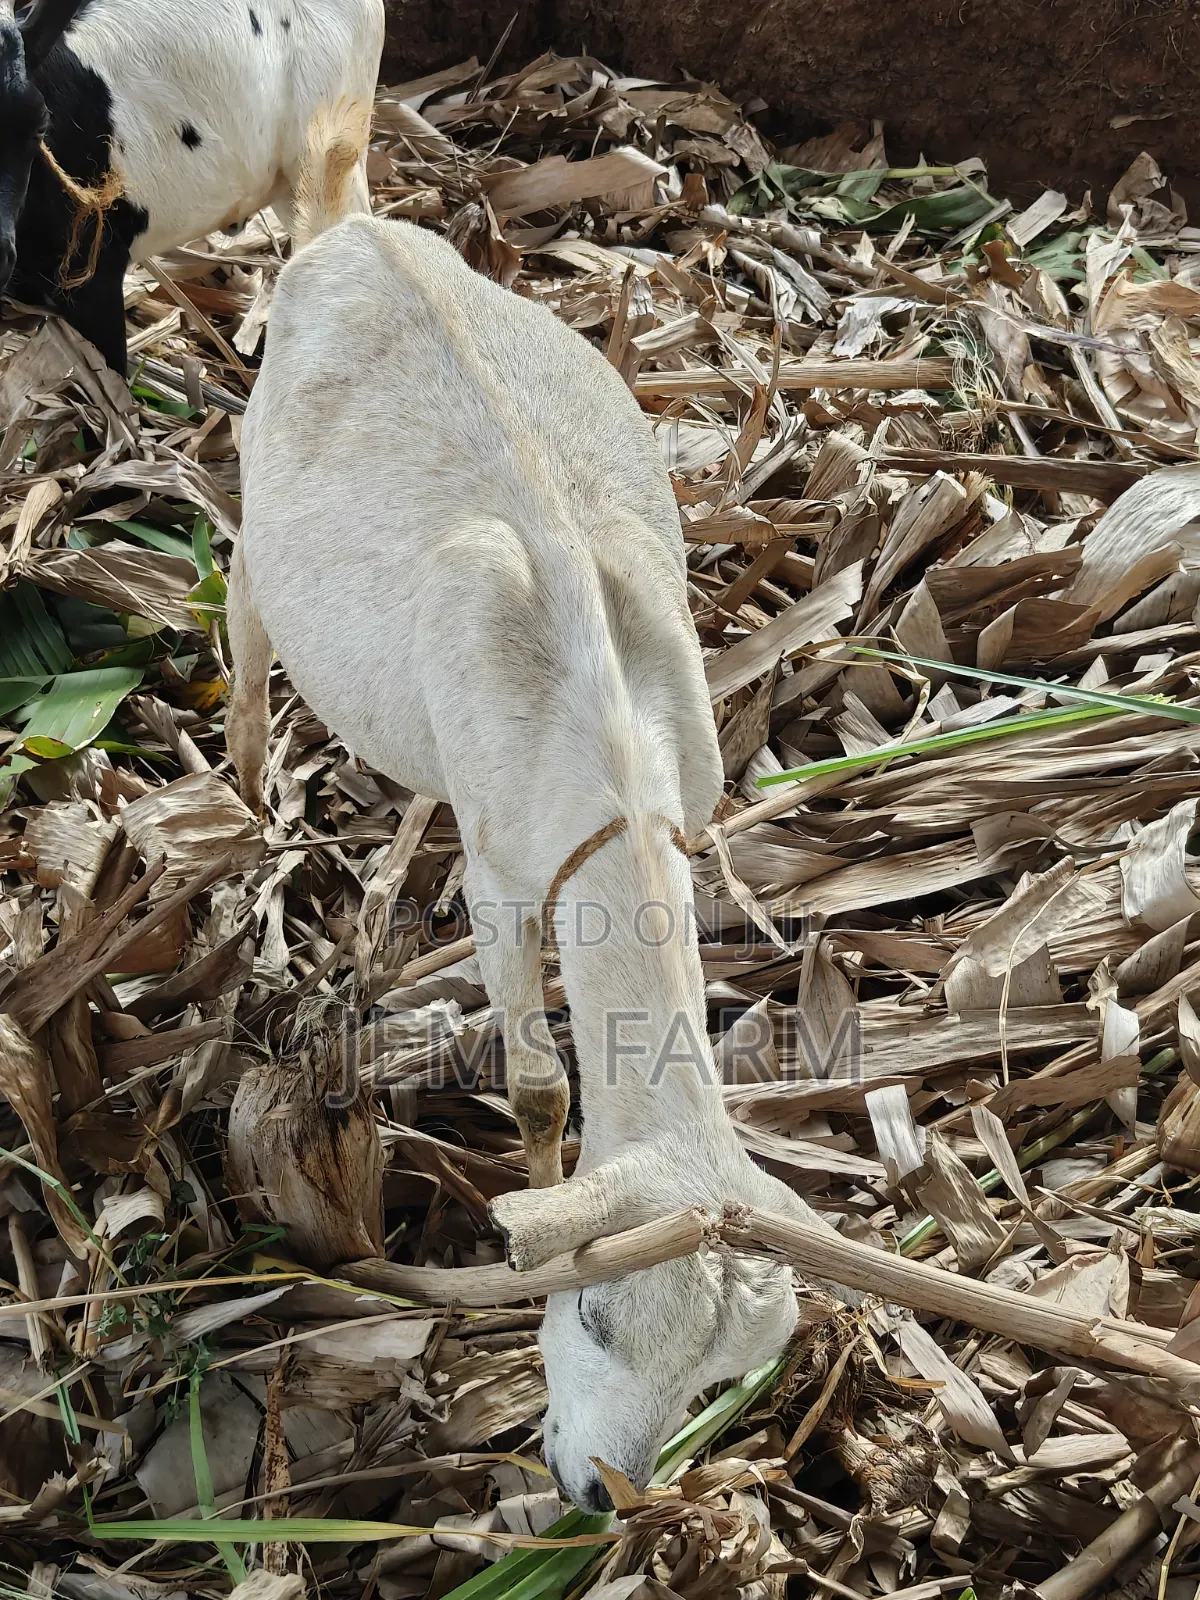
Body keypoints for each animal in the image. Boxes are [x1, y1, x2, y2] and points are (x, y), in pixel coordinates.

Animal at [227, 140, 852, 1514]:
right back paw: (239, 773)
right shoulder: (510, 876)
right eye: (597, 1316)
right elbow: (534, 1080)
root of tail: (355, 229)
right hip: (255, 487)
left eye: (725, 1373)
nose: (607, 1495)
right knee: (241, 601)